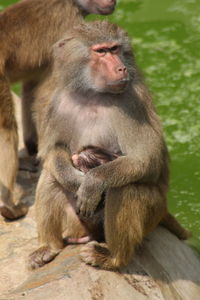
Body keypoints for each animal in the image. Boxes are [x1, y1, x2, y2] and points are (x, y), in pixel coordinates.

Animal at [0, 0, 115, 220]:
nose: (112, 2)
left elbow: (33, 91)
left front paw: (33, 150)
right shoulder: (70, 27)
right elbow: (47, 97)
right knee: (7, 129)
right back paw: (7, 206)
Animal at [28, 20, 189, 270]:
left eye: (115, 49)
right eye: (101, 51)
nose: (121, 69)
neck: (93, 95)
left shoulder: (131, 102)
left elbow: (144, 159)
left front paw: (92, 183)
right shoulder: (57, 102)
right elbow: (54, 151)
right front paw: (76, 181)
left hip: (152, 211)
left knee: (125, 188)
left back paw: (113, 257)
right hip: (78, 222)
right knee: (51, 176)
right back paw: (49, 247)